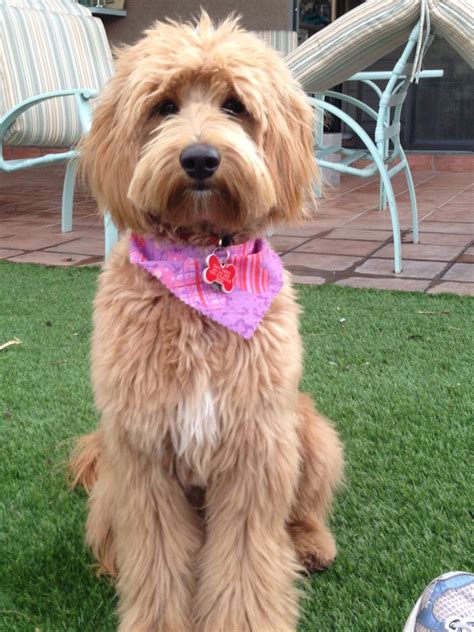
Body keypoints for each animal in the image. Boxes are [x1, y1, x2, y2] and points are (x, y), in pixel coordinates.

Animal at [70, 11, 342, 632]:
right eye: (164, 106)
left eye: (235, 105)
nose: (199, 159)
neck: (201, 268)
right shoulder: (145, 455)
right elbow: (158, 560)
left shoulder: (256, 449)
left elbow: (246, 560)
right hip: (113, 472)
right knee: (111, 536)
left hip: (310, 432)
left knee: (304, 509)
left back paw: (311, 544)